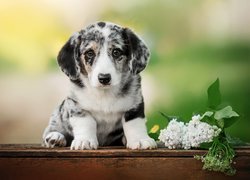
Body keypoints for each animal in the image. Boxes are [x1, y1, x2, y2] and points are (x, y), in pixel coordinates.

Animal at [42, 21, 156, 150]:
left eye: (116, 52)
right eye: (89, 53)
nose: (104, 78)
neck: (104, 93)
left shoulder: (134, 106)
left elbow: (134, 124)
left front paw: (140, 140)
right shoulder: (76, 105)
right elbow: (86, 122)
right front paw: (84, 141)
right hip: (58, 115)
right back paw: (56, 137)